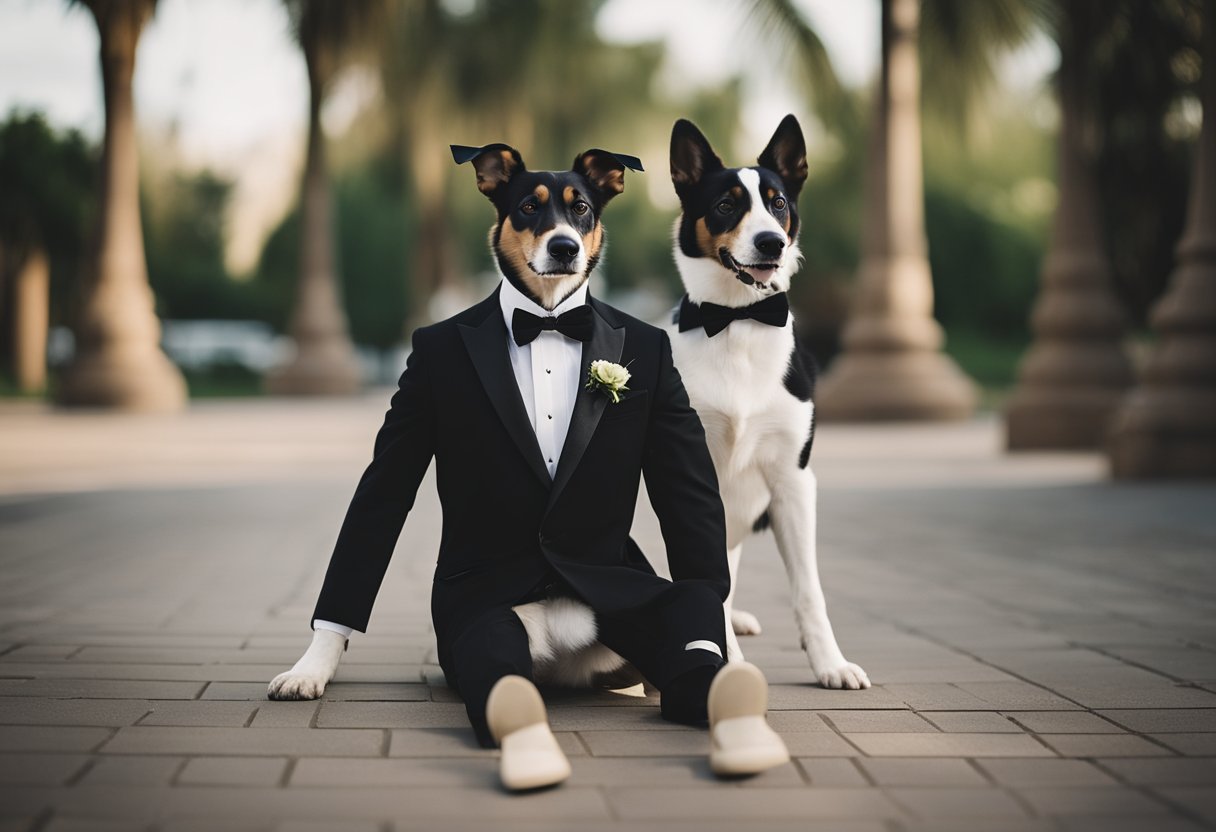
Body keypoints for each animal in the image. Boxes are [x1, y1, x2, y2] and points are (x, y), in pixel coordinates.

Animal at [661, 116, 870, 690]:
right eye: (725, 205)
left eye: (778, 203)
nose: (771, 242)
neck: (738, 322)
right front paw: (726, 662)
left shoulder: (793, 481)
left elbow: (809, 591)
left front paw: (830, 663)